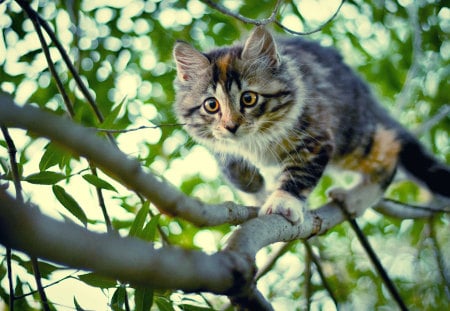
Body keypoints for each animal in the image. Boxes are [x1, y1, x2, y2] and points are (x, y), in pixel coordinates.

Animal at [172, 25, 450, 223]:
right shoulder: (222, 148)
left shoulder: (316, 138)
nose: (231, 126)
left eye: (248, 99)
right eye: (211, 105)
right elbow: (235, 171)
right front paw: (258, 191)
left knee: (390, 149)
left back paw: (355, 199)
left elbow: (299, 175)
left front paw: (282, 202)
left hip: (352, 136)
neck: (255, 140)